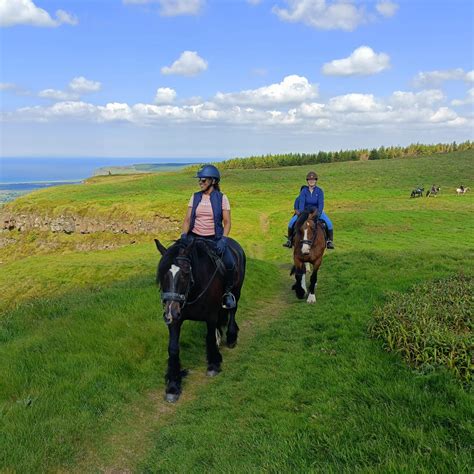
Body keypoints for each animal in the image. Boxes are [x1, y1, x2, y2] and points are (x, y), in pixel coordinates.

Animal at [156, 235, 246, 402]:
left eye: (185, 273)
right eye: (162, 274)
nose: (170, 312)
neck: (193, 289)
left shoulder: (210, 316)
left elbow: (209, 338)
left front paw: (214, 365)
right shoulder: (176, 320)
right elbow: (173, 348)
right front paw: (173, 386)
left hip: (236, 291)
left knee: (232, 311)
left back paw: (231, 337)